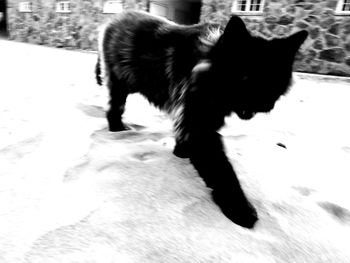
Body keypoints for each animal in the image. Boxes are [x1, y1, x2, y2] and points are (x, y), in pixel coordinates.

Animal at [95, 10, 306, 229]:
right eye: (246, 77)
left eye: (275, 83)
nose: (265, 104)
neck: (207, 66)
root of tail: (116, 17)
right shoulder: (198, 125)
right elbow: (222, 171)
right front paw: (239, 208)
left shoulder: (192, 120)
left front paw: (180, 153)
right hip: (119, 84)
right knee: (113, 109)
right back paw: (117, 129)